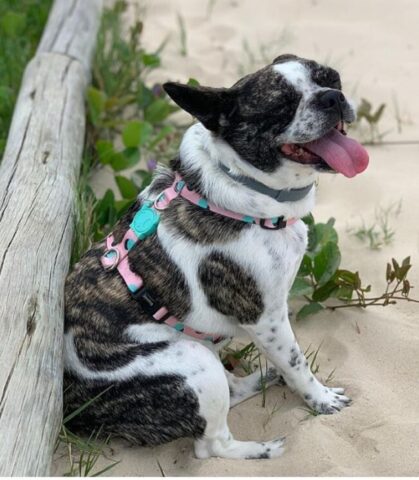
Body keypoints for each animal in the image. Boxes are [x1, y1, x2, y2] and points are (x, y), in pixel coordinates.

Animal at [64, 54, 370, 460]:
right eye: (281, 107)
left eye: (331, 79)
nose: (332, 97)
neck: (245, 185)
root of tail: (71, 403)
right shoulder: (267, 320)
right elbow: (297, 362)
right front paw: (319, 399)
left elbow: (289, 362)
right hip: (196, 364)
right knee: (211, 446)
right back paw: (262, 450)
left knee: (232, 391)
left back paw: (261, 379)